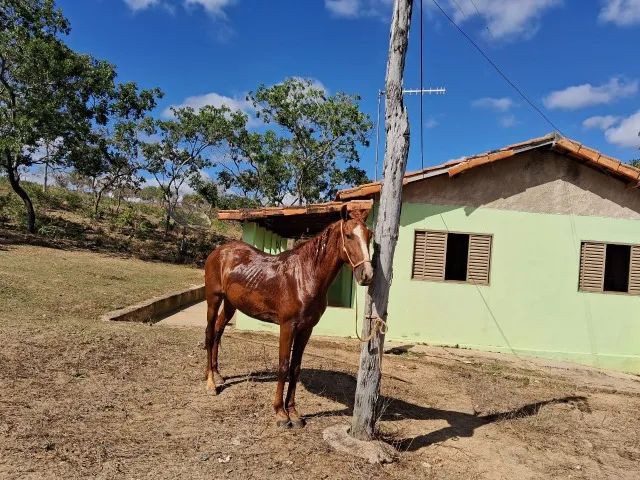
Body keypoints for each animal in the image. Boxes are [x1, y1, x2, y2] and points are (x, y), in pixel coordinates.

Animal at [205, 206, 372, 428]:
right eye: (349, 235)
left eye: (369, 236)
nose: (367, 275)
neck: (303, 276)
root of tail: (219, 251)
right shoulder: (287, 326)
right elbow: (283, 366)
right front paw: (280, 413)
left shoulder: (306, 329)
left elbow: (295, 367)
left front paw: (293, 412)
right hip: (213, 299)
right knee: (209, 334)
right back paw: (210, 383)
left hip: (230, 304)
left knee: (218, 332)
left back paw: (217, 375)